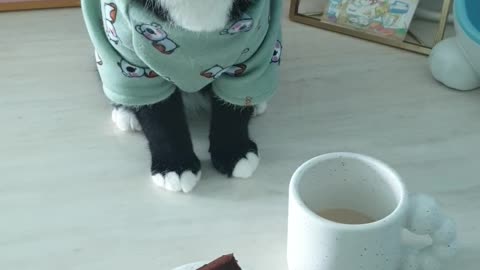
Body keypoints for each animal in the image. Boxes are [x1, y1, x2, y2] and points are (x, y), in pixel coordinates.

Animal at [109, 0, 274, 194]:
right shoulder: (129, 48)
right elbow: (159, 115)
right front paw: (174, 164)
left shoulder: (259, 40)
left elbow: (236, 103)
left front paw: (233, 151)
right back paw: (125, 110)